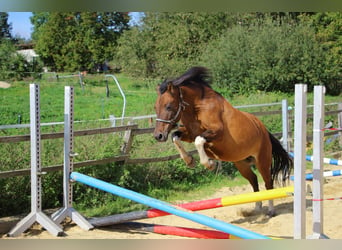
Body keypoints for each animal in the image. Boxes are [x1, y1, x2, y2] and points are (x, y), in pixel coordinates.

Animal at [154, 67, 292, 217]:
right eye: (155, 107)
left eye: (168, 106)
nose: (158, 136)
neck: (198, 108)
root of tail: (263, 129)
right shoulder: (189, 133)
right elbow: (175, 137)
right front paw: (190, 161)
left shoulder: (216, 133)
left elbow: (199, 140)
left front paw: (209, 164)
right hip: (241, 163)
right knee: (254, 180)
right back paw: (256, 208)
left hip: (262, 161)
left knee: (268, 183)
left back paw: (271, 211)